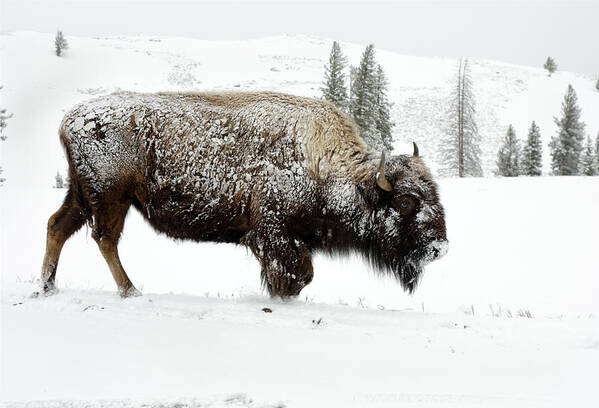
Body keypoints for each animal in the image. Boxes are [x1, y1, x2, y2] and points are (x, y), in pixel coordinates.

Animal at [39, 91, 448, 298]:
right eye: (406, 202)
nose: (439, 248)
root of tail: (68, 120)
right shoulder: (273, 233)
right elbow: (297, 273)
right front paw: (282, 297)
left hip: (82, 195)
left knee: (58, 226)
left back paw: (47, 286)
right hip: (111, 197)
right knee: (105, 238)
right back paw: (130, 291)